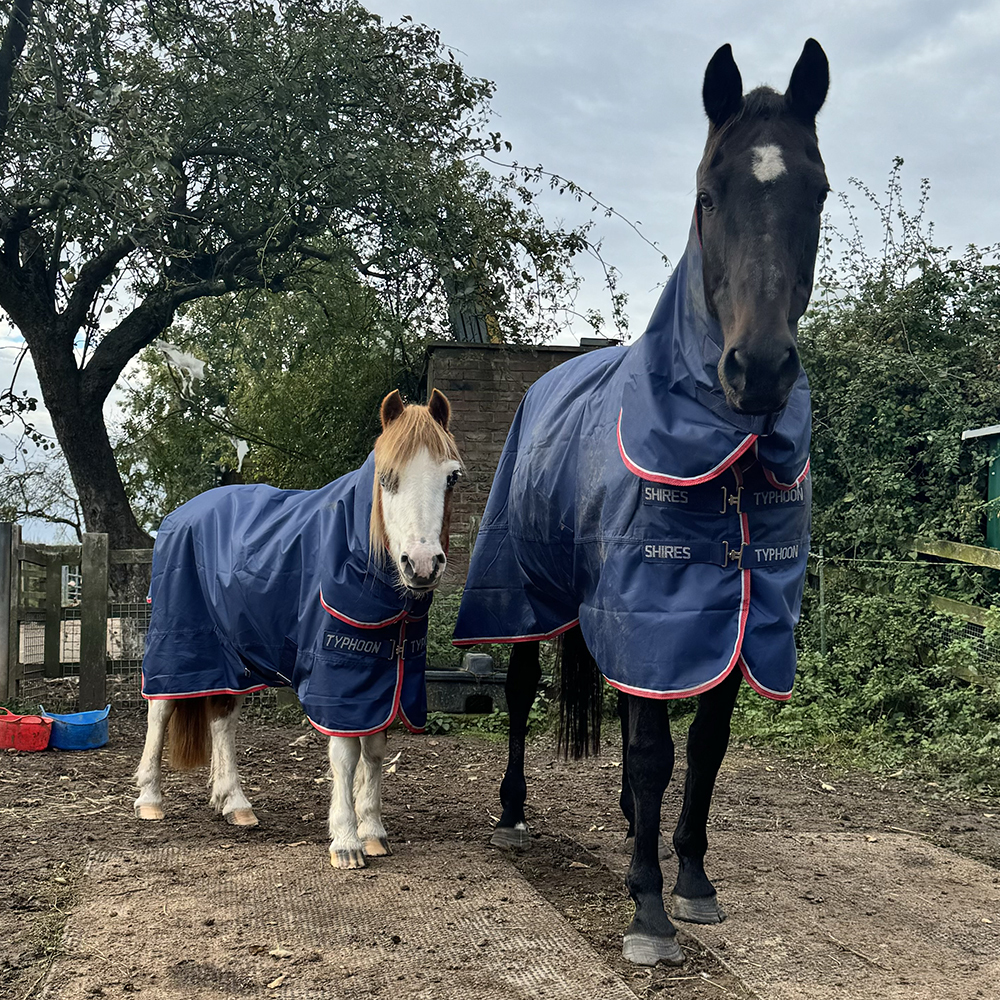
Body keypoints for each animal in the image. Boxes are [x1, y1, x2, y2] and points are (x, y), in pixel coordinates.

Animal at [134, 389, 462, 869]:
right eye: (386, 477)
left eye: (452, 477)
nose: (421, 565)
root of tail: (180, 517)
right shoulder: (337, 682)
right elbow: (345, 755)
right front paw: (346, 841)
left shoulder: (382, 678)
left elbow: (375, 751)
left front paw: (373, 831)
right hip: (178, 642)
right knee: (161, 709)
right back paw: (150, 799)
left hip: (232, 657)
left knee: (222, 719)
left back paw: (234, 803)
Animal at [453, 40, 829, 965]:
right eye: (708, 194)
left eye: (817, 191)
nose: (758, 370)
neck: (730, 459)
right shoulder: (650, 604)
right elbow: (656, 750)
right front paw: (649, 908)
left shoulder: (738, 613)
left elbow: (704, 746)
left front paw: (690, 876)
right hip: (527, 589)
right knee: (524, 690)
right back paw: (514, 812)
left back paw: (632, 823)